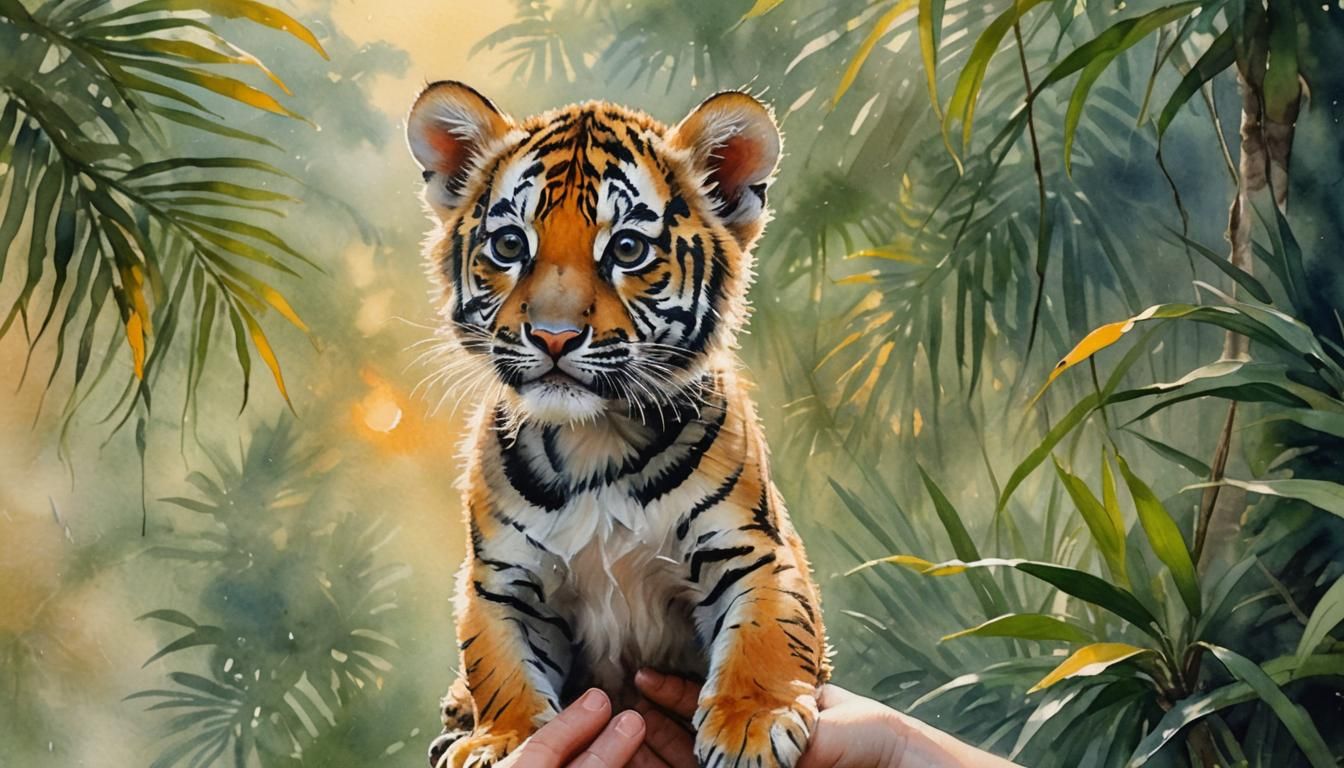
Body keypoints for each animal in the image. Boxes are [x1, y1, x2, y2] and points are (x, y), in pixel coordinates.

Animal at [406, 81, 831, 768]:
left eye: (627, 249)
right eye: (510, 245)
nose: (552, 336)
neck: (594, 436)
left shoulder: (749, 548)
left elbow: (767, 633)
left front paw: (752, 723)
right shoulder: (502, 580)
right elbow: (497, 665)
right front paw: (504, 738)